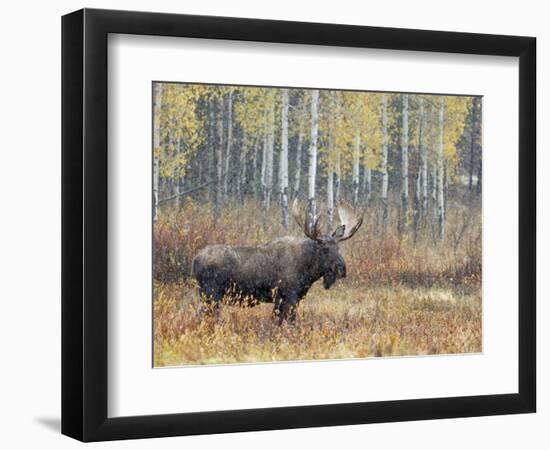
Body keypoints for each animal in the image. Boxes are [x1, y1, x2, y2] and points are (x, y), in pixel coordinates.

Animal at [192, 200, 364, 324]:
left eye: (338, 247)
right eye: (325, 249)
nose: (342, 268)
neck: (308, 272)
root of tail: (194, 260)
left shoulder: (294, 297)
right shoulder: (287, 296)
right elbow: (286, 322)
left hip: (206, 296)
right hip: (211, 294)